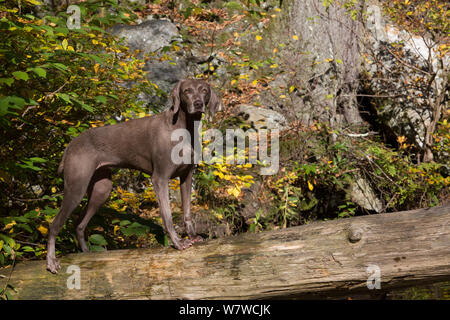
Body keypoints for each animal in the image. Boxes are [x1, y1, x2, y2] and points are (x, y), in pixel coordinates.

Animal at [46, 79, 222, 272]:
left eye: (204, 90)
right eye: (187, 91)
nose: (198, 104)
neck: (184, 127)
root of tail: (70, 145)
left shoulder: (186, 177)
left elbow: (187, 211)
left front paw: (192, 235)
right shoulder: (160, 178)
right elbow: (167, 215)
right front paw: (177, 242)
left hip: (102, 189)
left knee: (79, 225)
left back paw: (86, 253)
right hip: (76, 187)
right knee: (54, 225)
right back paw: (51, 261)